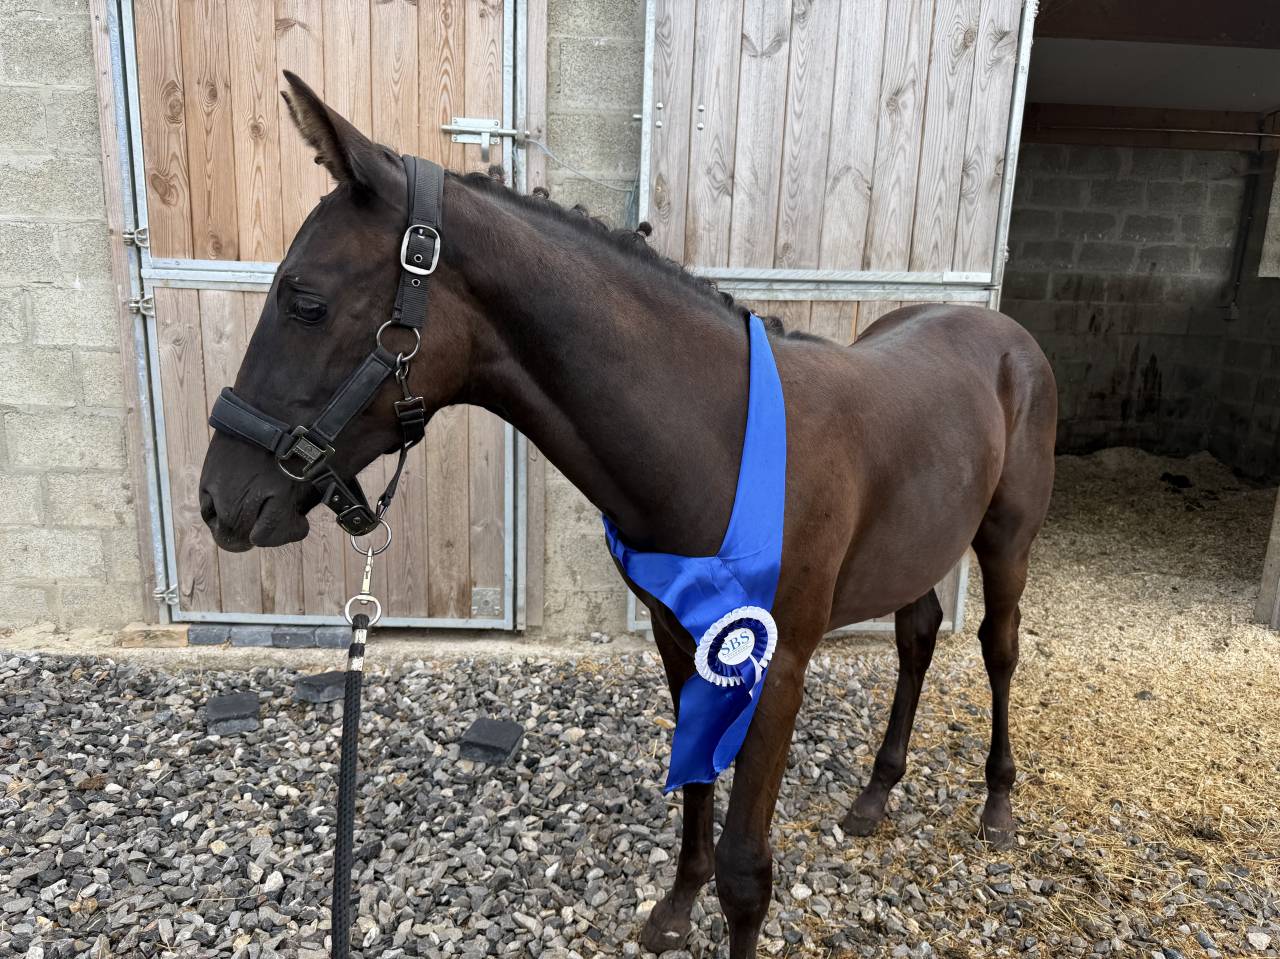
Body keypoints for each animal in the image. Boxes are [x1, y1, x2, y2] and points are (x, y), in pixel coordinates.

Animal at [198, 73, 1057, 958]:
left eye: (305, 301)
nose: (220, 500)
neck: (718, 437)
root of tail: (1002, 327)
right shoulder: (681, 642)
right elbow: (695, 790)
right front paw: (675, 908)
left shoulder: (779, 662)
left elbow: (748, 867)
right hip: (918, 547)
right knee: (917, 638)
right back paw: (876, 795)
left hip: (1006, 541)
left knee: (998, 648)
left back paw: (998, 804)